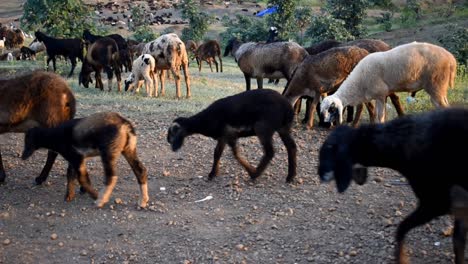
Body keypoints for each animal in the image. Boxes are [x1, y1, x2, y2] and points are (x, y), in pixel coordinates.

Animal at [167, 89, 296, 183]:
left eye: (173, 133)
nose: (172, 148)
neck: (204, 121)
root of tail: (288, 107)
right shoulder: (225, 137)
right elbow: (221, 153)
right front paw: (213, 173)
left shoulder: (228, 134)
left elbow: (231, 154)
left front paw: (250, 171)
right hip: (283, 128)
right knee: (291, 146)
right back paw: (290, 176)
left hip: (263, 127)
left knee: (270, 152)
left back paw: (256, 174)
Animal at [318, 106, 468, 264]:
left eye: (329, 148)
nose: (320, 175)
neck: (401, 139)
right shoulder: (459, 207)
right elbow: (458, 243)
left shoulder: (437, 203)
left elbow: (401, 229)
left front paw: (401, 258)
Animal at [320, 41, 456, 124]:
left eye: (331, 109)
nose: (326, 123)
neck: (358, 83)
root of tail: (451, 59)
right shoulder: (380, 96)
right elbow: (380, 115)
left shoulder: (380, 94)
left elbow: (380, 117)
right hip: (439, 86)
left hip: (436, 84)